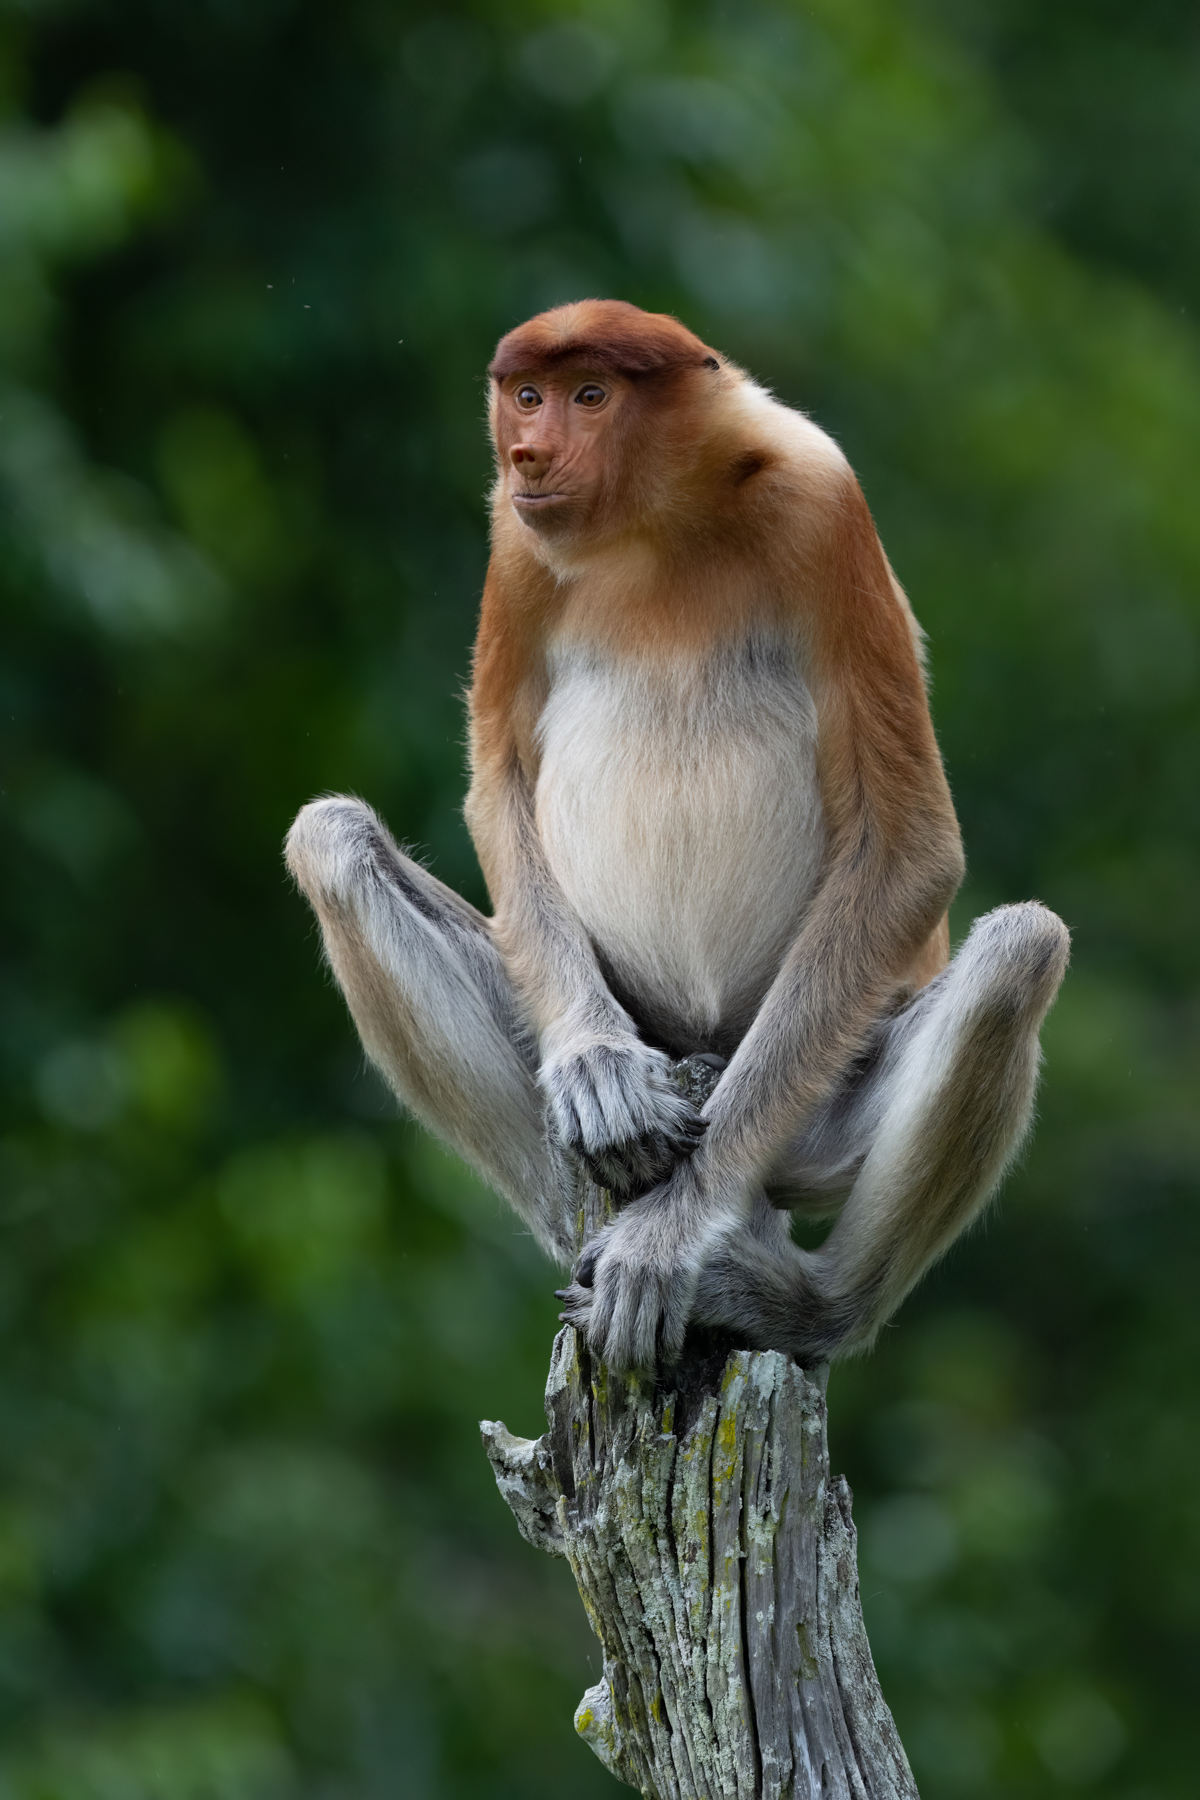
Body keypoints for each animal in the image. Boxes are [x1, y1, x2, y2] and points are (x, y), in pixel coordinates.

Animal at [286, 299, 1069, 1376]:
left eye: (589, 395)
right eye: (525, 394)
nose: (528, 453)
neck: (658, 524)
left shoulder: (827, 509)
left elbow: (911, 846)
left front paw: (662, 1244)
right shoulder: (516, 545)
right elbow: (500, 778)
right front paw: (594, 1073)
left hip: (816, 1108)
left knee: (1024, 945)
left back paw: (800, 1303)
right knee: (329, 837)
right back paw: (570, 1180)